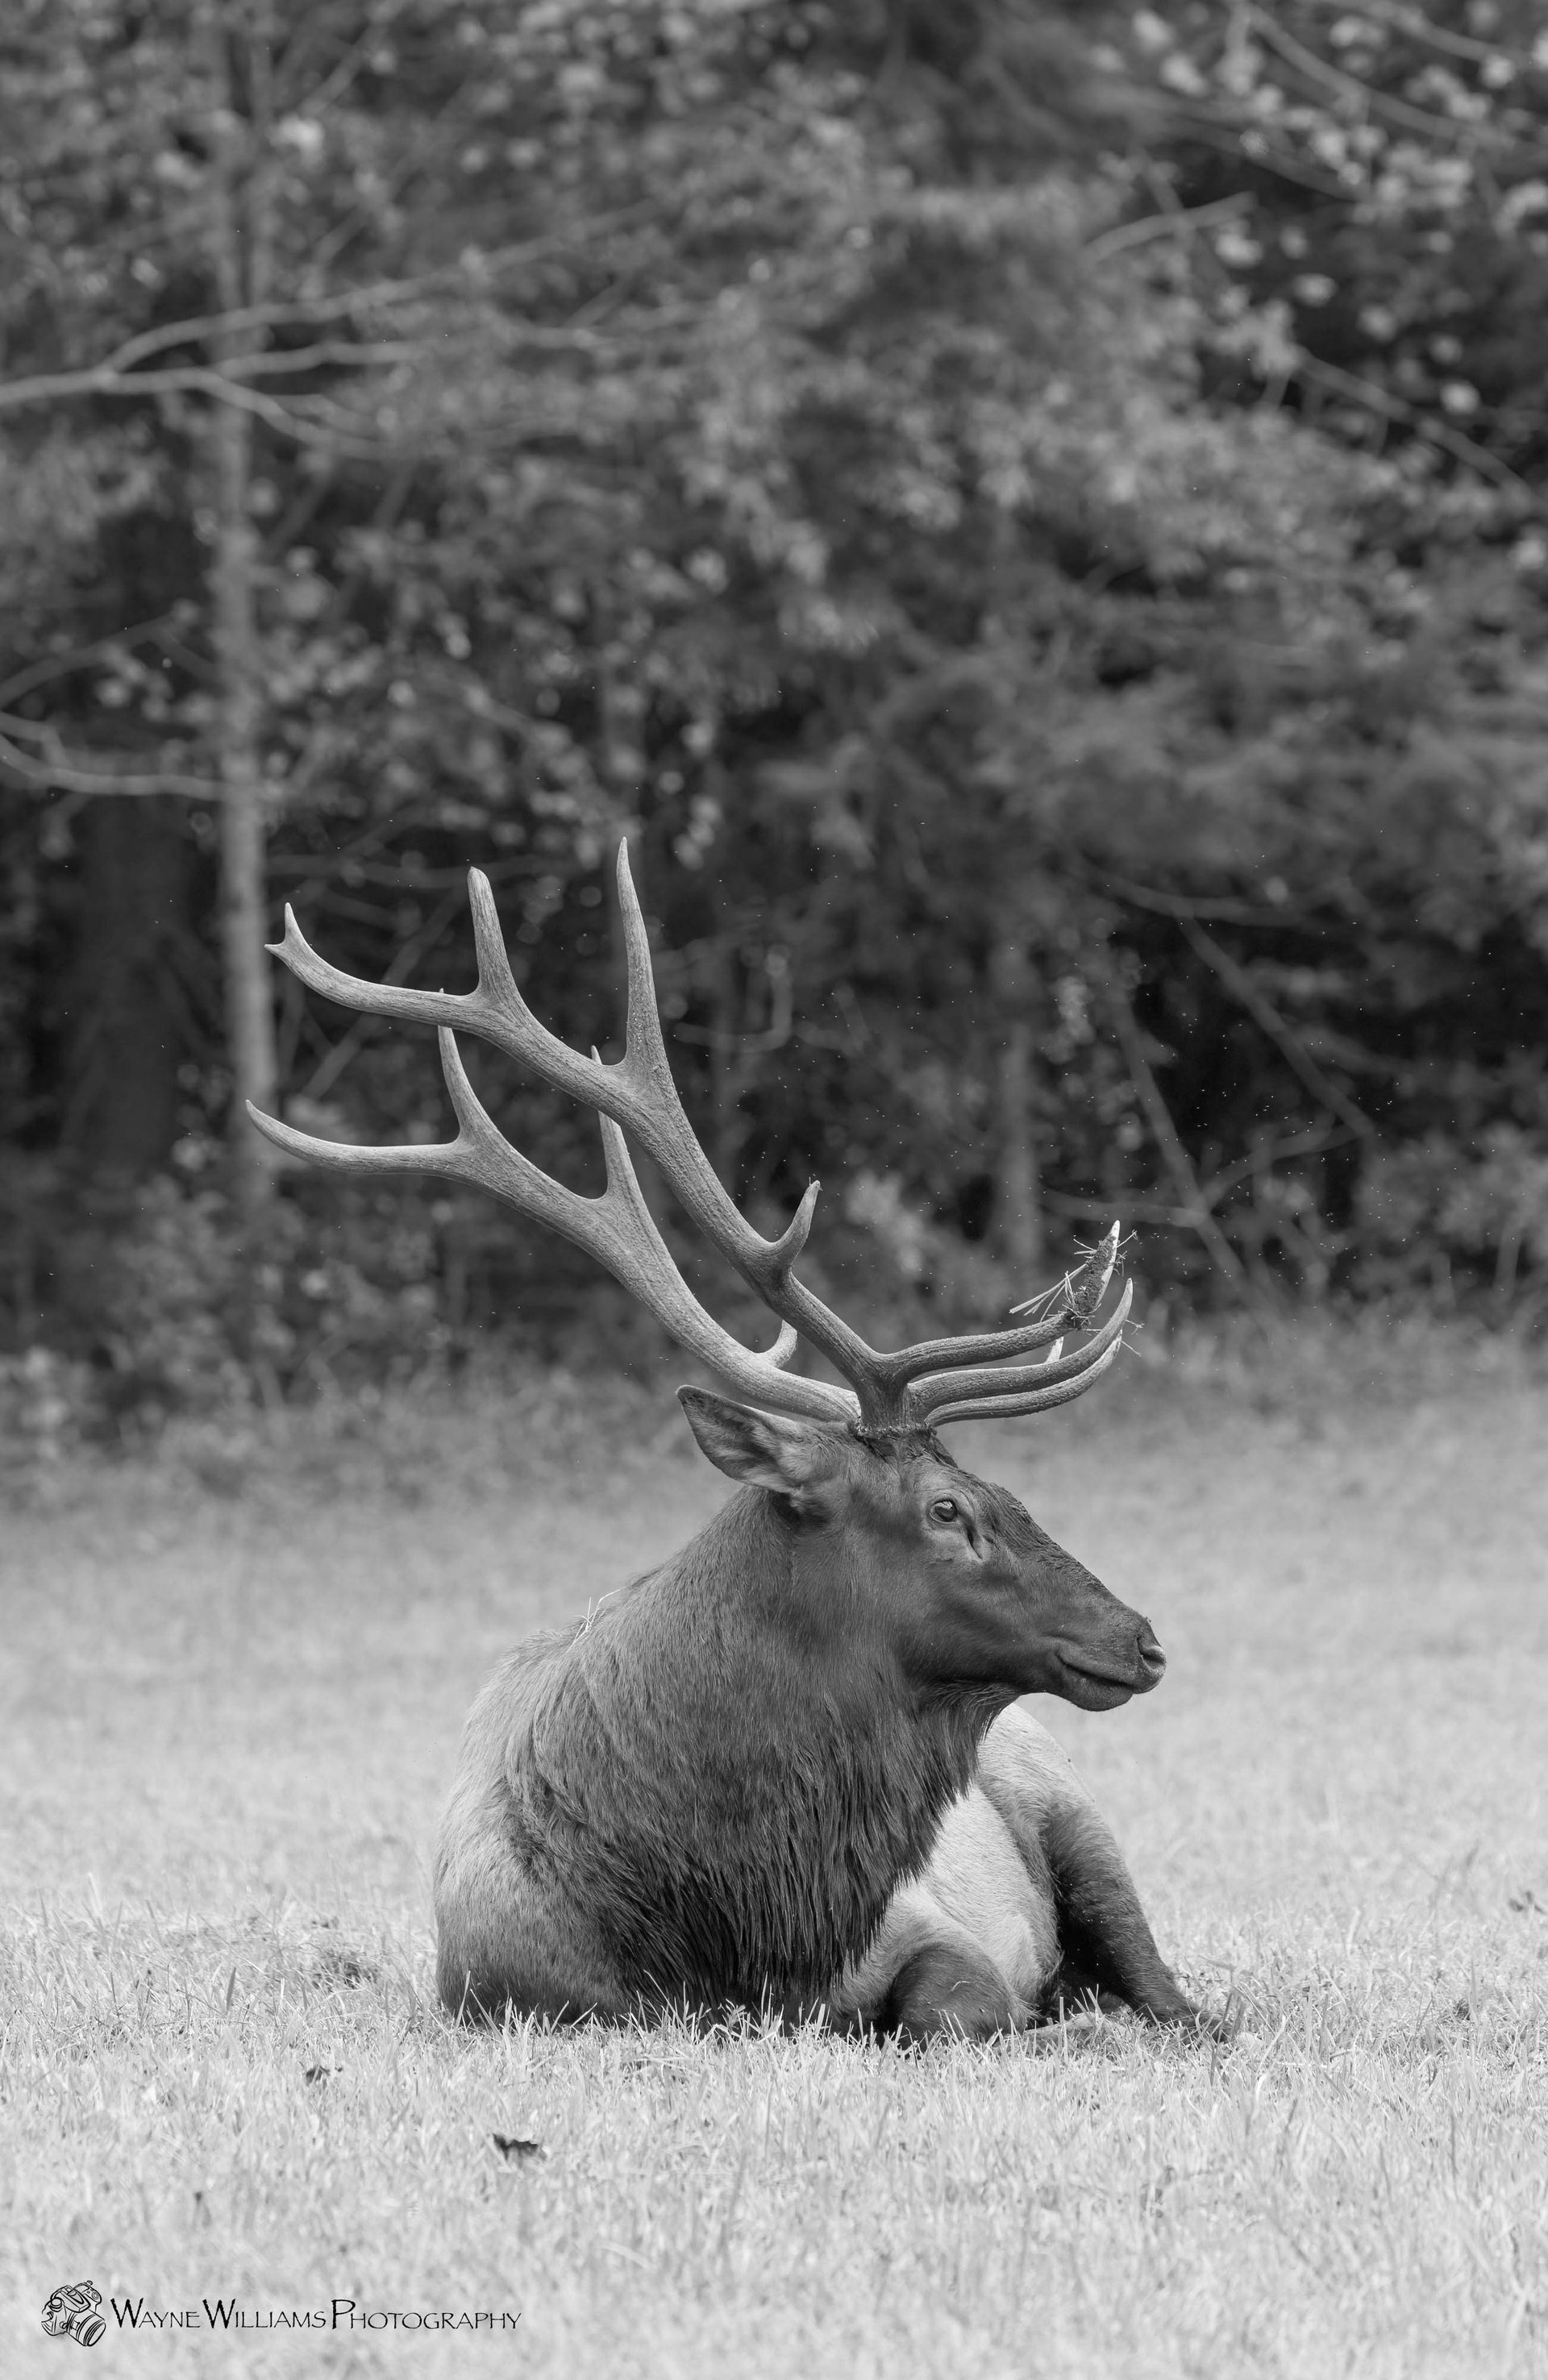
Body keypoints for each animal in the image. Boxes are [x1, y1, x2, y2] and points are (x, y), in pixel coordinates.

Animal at [250, 849, 1208, 2043]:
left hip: (1079, 1817)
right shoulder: (509, 1990)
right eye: (948, 1508)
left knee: (1180, 1996)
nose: (1142, 1639)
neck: (731, 1926)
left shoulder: (926, 1926)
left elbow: (960, 2004)